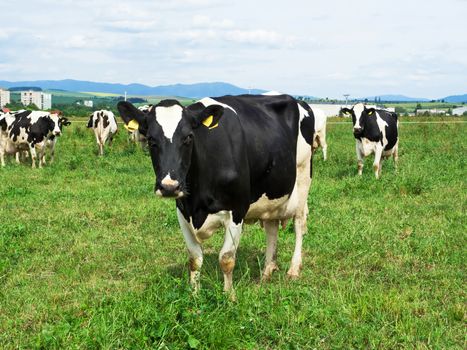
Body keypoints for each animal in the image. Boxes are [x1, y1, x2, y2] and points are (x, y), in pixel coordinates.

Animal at [117, 94, 316, 296]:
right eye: (151, 139)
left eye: (189, 137)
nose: (169, 187)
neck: (197, 202)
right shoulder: (182, 211)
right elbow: (194, 258)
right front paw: (194, 295)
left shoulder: (237, 210)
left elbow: (226, 259)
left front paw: (229, 296)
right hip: (272, 193)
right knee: (271, 228)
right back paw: (267, 272)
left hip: (303, 179)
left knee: (299, 225)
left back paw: (293, 270)